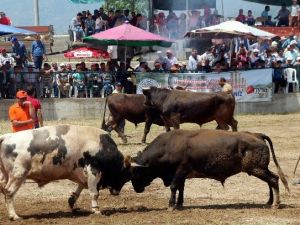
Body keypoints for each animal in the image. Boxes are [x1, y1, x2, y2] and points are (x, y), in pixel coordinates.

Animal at [0, 125, 131, 221]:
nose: (116, 192)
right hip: (18, 175)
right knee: (9, 192)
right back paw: (14, 216)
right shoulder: (93, 170)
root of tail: (7, 137)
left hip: (6, 176)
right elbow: (94, 193)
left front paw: (72, 201)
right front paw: (96, 210)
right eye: (124, 175)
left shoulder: (81, 173)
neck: (101, 145)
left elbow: (80, 187)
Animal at [130, 129, 290, 210]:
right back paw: (269, 202)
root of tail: (256, 135)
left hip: (256, 169)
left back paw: (275, 204)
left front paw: (171, 205)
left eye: (137, 173)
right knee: (271, 180)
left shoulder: (180, 171)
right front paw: (179, 203)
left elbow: (174, 186)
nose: (137, 189)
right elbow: (181, 188)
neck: (168, 146)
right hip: (260, 169)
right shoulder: (182, 174)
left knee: (273, 179)